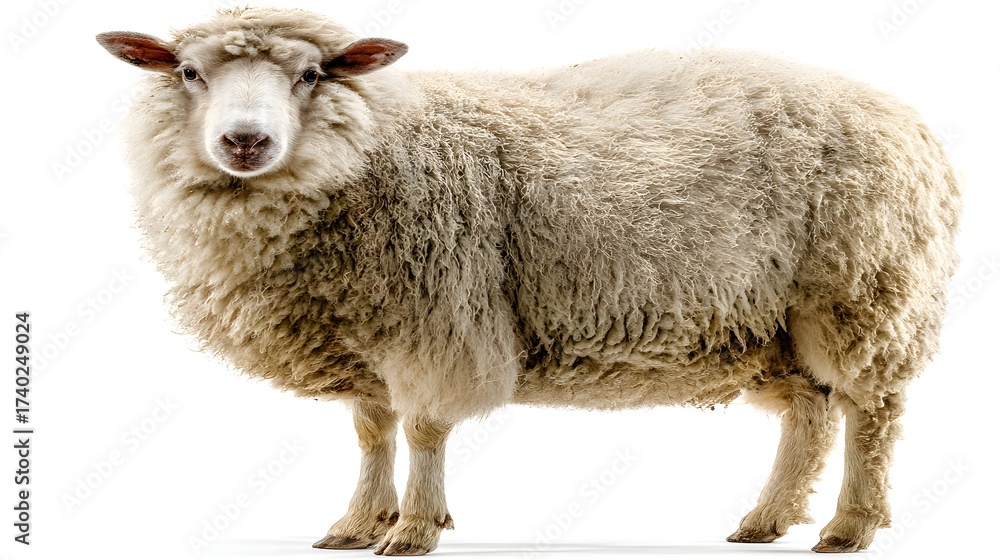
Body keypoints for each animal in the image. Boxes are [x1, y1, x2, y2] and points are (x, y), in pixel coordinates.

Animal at [96, 7, 961, 556]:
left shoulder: (436, 320)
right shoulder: (366, 336)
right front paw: (357, 523)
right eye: (187, 72)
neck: (372, 149)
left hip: (860, 294)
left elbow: (423, 431)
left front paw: (413, 529)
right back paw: (766, 520)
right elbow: (373, 434)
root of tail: (911, 121)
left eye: (311, 74)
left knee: (872, 414)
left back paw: (848, 528)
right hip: (770, 321)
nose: (245, 141)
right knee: (810, 414)